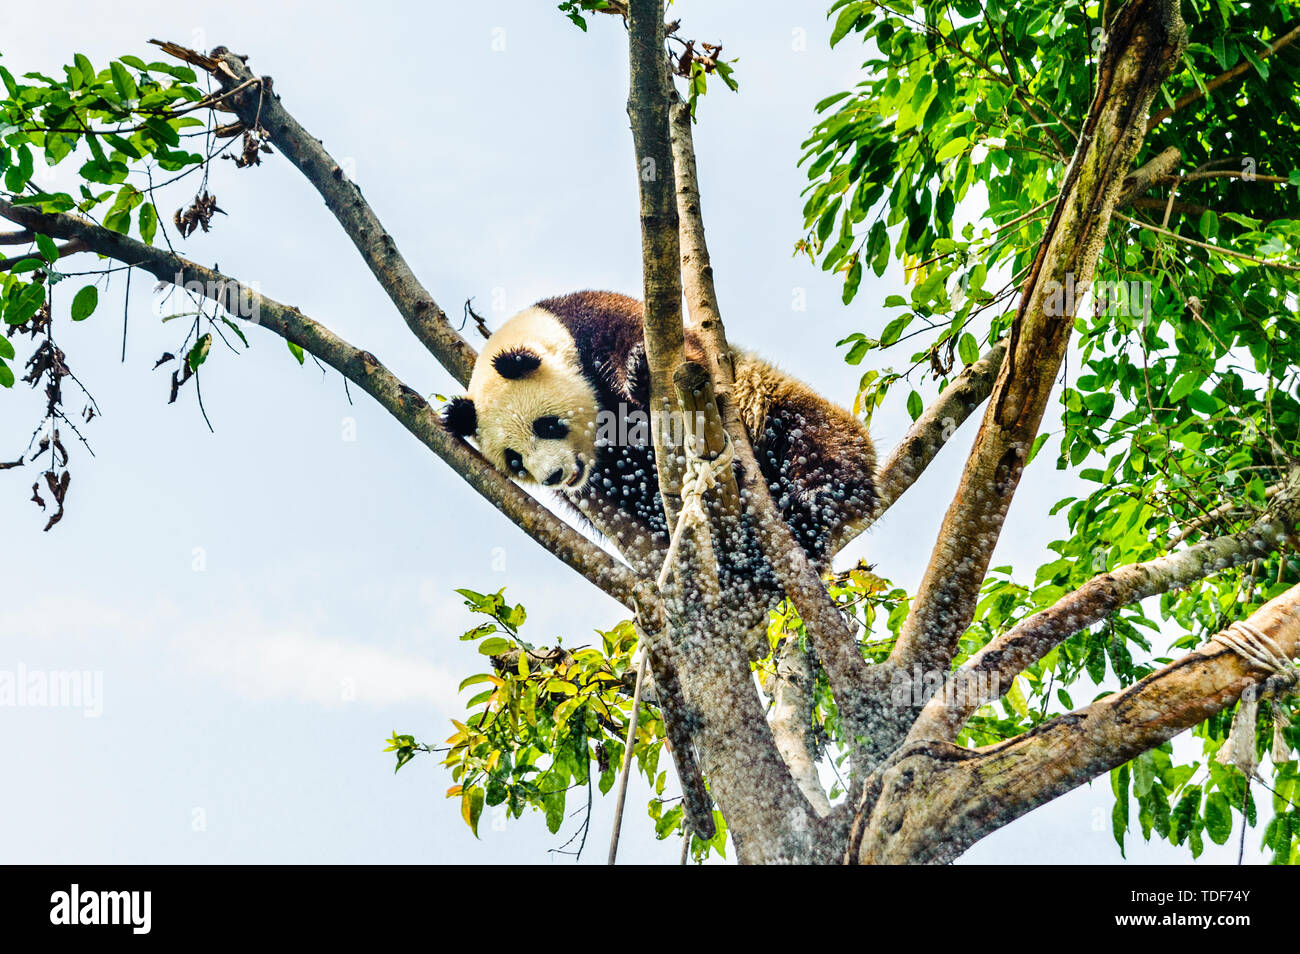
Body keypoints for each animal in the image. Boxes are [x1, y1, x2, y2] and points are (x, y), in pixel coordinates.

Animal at [441, 287, 878, 608]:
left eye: (547, 425)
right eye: (515, 460)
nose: (554, 475)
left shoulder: (601, 318)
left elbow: (663, 357)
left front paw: (639, 374)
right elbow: (628, 488)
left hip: (765, 400)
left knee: (814, 440)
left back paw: (811, 504)